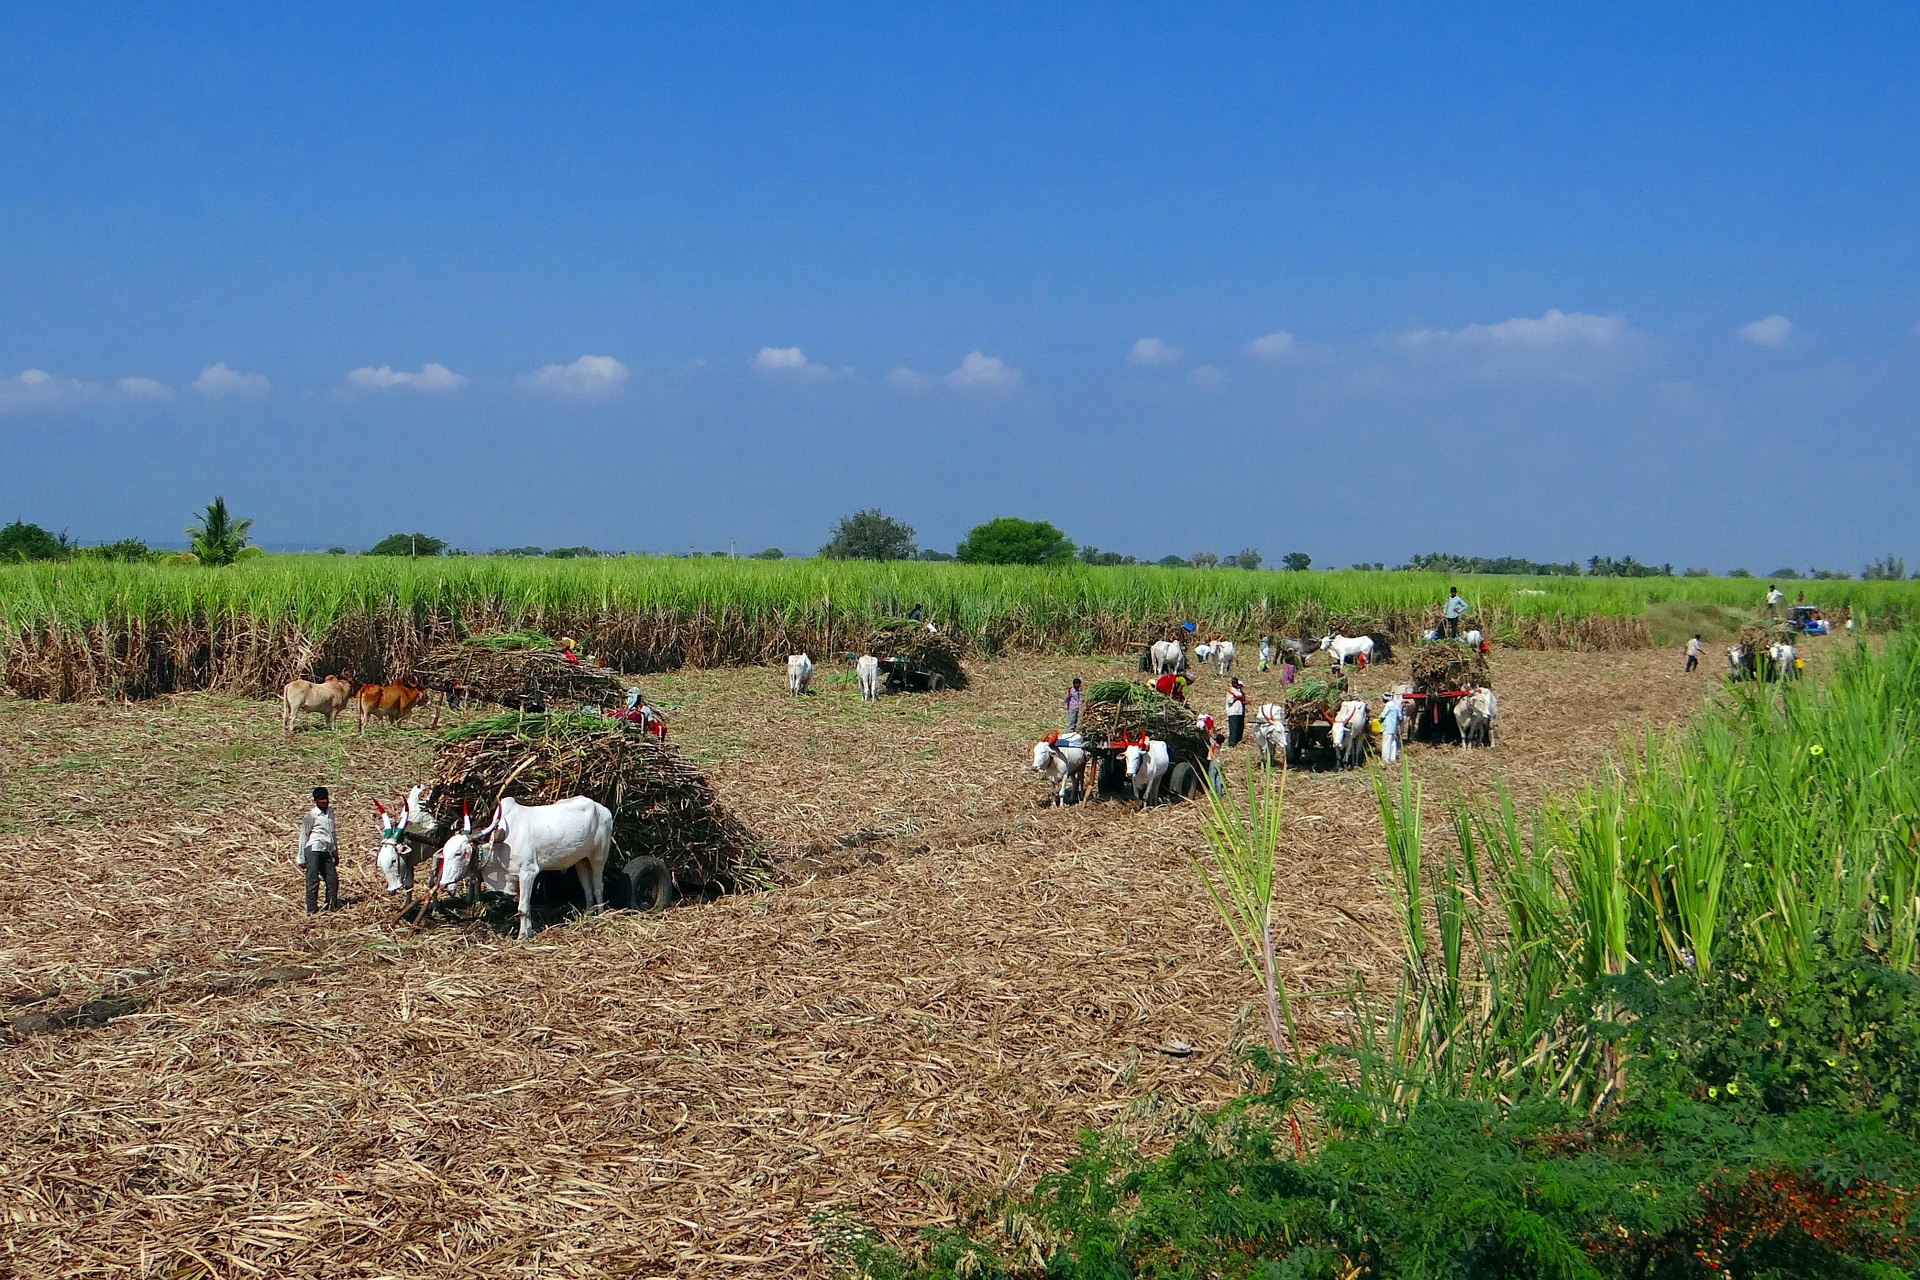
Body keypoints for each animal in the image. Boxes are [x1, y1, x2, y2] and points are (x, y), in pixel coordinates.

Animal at [468, 794, 610, 936]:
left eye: (465, 852)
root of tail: (603, 809)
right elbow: (525, 907)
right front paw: (528, 931)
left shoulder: (528, 872)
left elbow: (522, 908)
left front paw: (522, 936)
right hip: (582, 860)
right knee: (587, 888)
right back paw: (588, 914)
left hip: (599, 857)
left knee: (598, 887)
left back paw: (600, 915)